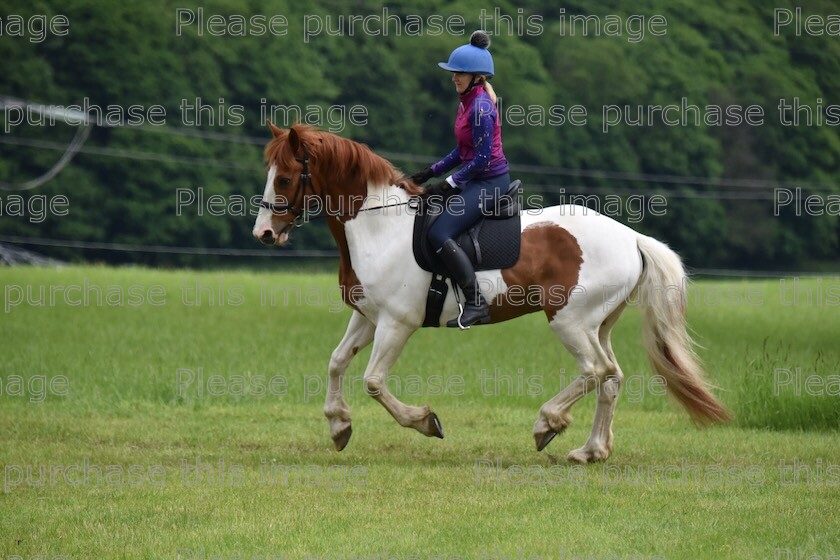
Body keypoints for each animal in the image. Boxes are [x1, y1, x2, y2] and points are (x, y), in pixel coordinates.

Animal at [251, 123, 728, 464]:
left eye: (286, 178)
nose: (264, 234)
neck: (378, 226)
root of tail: (631, 238)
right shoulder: (367, 317)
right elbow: (336, 363)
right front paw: (338, 426)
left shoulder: (396, 324)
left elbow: (373, 381)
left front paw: (424, 422)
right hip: (599, 324)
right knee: (611, 377)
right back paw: (591, 451)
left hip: (570, 321)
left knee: (596, 370)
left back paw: (548, 423)